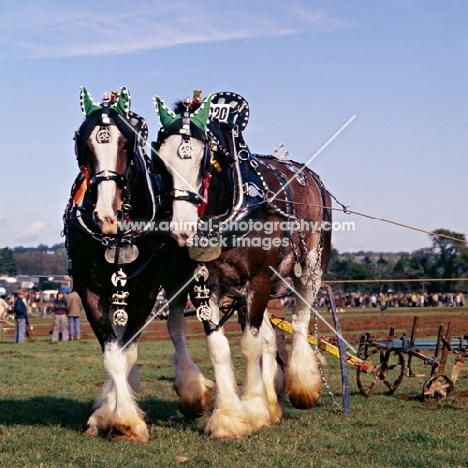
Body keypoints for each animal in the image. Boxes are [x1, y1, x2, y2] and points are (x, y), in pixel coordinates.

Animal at [64, 88, 214, 442]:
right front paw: (111, 415)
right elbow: (113, 355)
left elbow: (128, 352)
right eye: (84, 144)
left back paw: (192, 391)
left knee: (176, 328)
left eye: (125, 144)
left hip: (177, 278)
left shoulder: (146, 292)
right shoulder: (89, 292)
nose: (106, 214)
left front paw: (126, 421)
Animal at [154, 92, 332, 438]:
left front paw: (253, 409)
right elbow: (220, 347)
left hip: (310, 268)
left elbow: (250, 346)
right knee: (269, 337)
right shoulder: (205, 285)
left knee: (300, 319)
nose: (181, 229)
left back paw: (303, 384)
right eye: (159, 160)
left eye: (204, 159)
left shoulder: (257, 281)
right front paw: (229, 417)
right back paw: (272, 401)